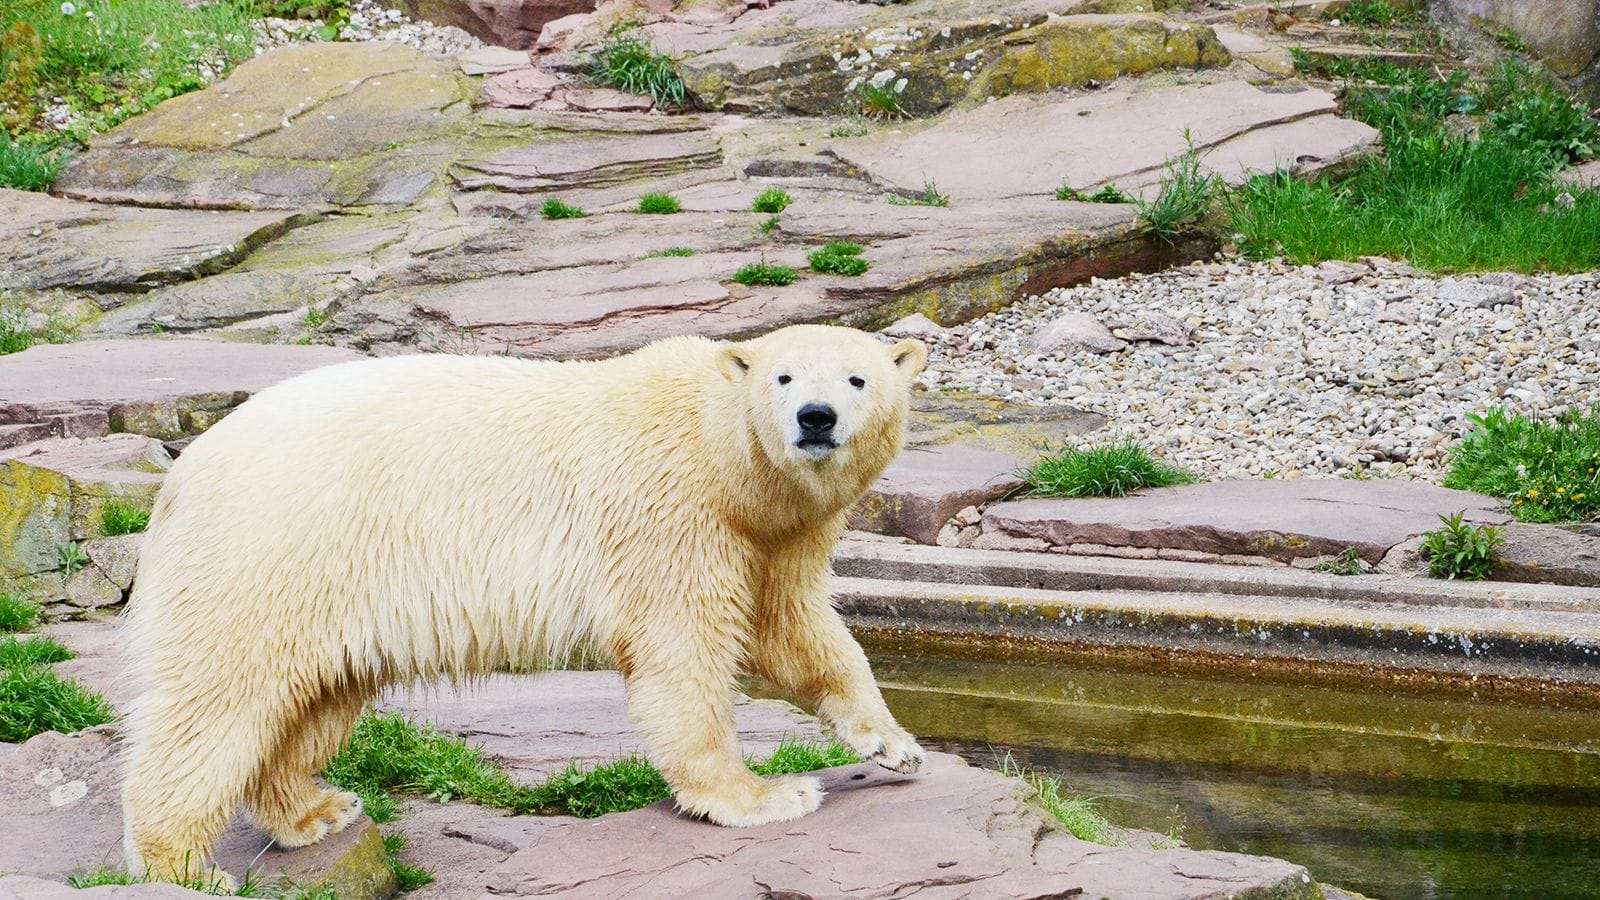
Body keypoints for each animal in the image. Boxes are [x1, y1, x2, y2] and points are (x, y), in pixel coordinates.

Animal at [121, 323, 928, 883]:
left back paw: (316, 809)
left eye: (857, 378)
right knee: (217, 699)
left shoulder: (773, 537)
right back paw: (184, 865)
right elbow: (684, 656)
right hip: (271, 549)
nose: (816, 417)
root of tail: (184, 473)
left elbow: (795, 629)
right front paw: (765, 795)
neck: (722, 453)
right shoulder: (671, 515)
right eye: (784, 376)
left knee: (315, 696)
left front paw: (894, 744)